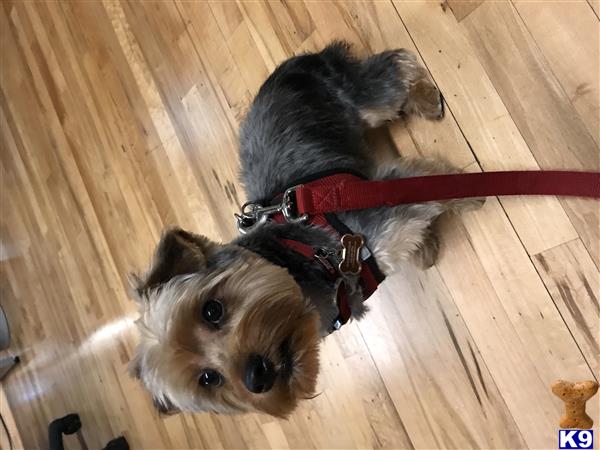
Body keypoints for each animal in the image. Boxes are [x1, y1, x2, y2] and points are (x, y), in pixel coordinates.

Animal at [130, 44, 478, 416]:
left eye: (212, 311)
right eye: (209, 379)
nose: (256, 375)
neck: (307, 261)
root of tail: (291, 63)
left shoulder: (383, 201)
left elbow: (435, 185)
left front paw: (475, 196)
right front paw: (426, 244)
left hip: (357, 98)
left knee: (394, 69)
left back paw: (426, 99)